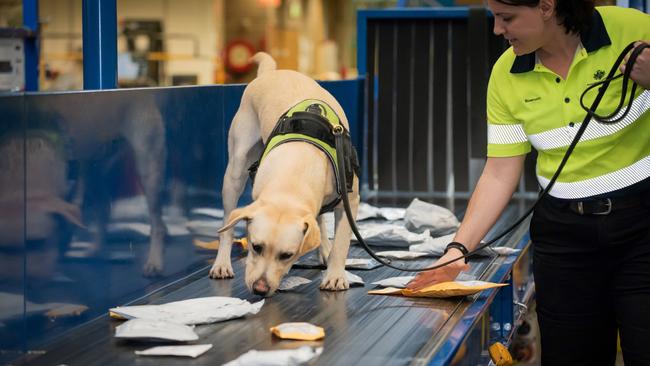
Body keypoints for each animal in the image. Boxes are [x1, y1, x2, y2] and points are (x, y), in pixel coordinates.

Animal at [209, 53, 356, 296]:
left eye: (287, 255)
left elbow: (341, 243)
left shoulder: (349, 201)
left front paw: (335, 275)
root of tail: (270, 73)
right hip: (234, 173)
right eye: (256, 247)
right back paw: (222, 263)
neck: (295, 173)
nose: (260, 289)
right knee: (226, 226)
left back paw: (324, 249)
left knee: (319, 223)